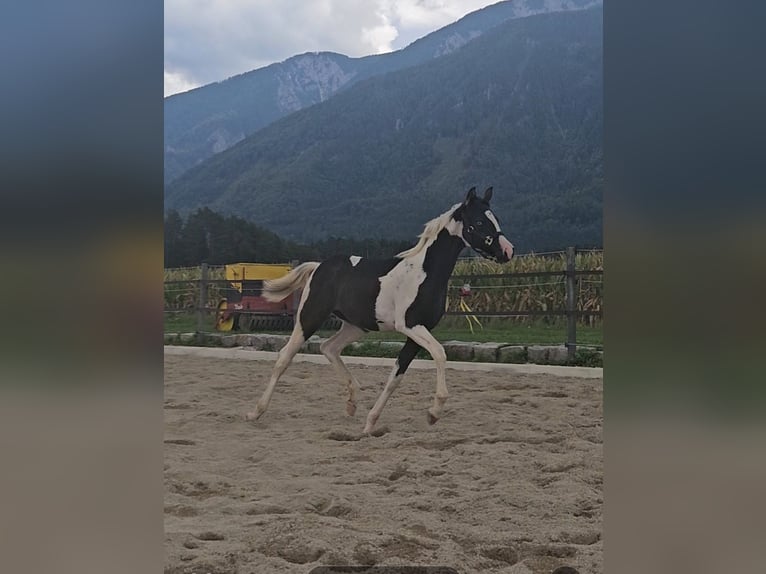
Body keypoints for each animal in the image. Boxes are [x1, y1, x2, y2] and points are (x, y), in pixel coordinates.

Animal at [246, 186, 514, 434]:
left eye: (496, 219)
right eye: (479, 222)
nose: (508, 251)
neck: (424, 274)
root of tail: (319, 266)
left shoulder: (417, 333)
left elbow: (396, 376)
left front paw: (371, 422)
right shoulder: (410, 326)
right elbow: (439, 353)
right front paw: (434, 412)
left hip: (355, 326)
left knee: (329, 348)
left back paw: (352, 402)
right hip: (309, 317)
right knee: (285, 356)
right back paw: (256, 412)